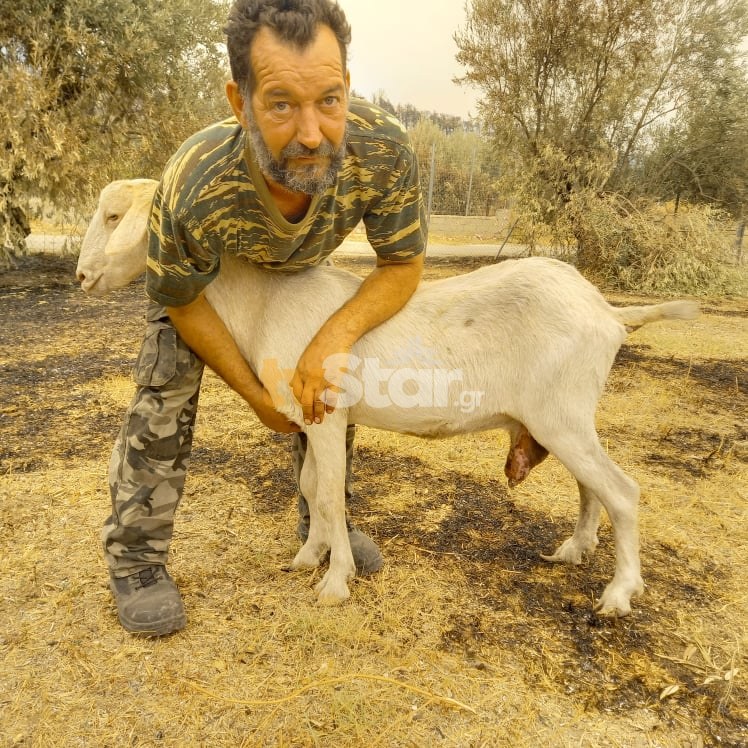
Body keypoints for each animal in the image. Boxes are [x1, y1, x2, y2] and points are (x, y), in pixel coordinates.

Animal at [77, 178, 700, 616]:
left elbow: (330, 496)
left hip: (561, 414)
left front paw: (335, 582)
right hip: (562, 418)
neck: (266, 302)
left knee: (622, 491)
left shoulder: (328, 417)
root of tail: (609, 312)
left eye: (114, 216)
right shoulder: (312, 420)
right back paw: (575, 549)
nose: (82, 278)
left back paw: (618, 594)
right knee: (591, 486)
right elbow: (311, 488)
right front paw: (308, 558)